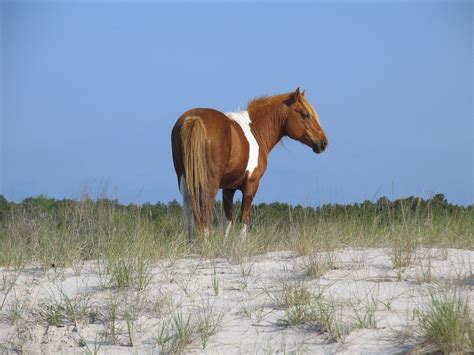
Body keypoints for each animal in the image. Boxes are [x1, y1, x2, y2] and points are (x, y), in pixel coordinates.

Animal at [171, 88, 330, 242]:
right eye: (305, 115)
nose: (323, 143)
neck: (256, 130)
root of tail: (194, 118)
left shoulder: (229, 188)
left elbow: (228, 220)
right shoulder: (251, 185)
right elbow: (244, 218)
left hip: (185, 181)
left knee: (189, 212)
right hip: (209, 183)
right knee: (205, 210)